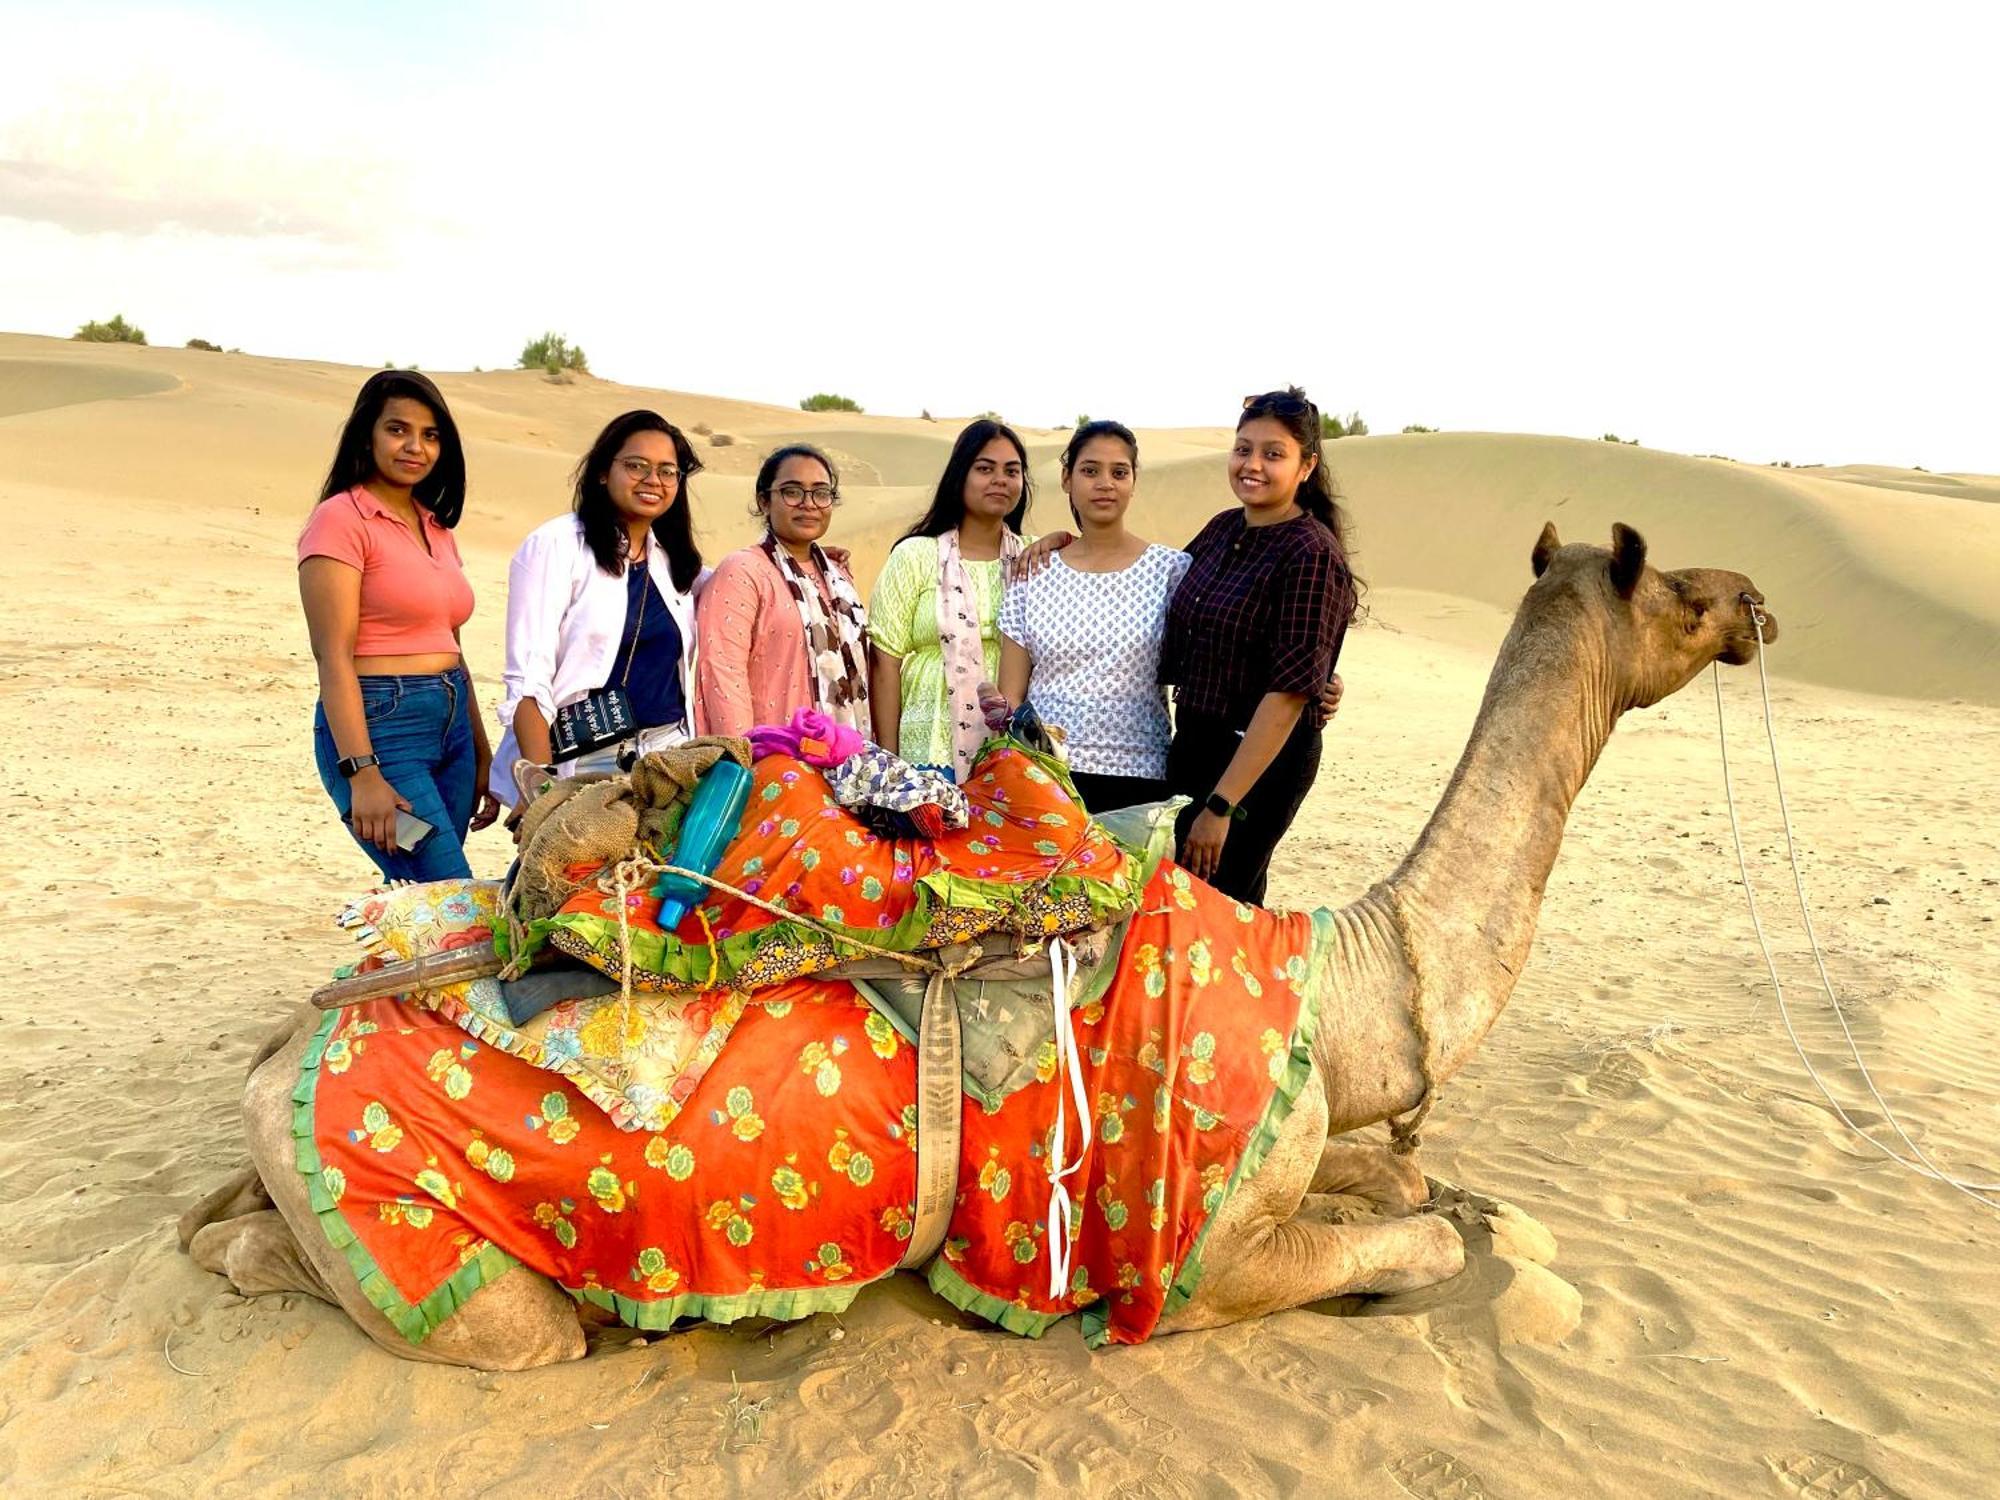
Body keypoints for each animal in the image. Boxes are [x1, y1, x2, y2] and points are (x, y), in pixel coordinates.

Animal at [184, 524, 1784, 1368]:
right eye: (1674, 591)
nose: (1758, 599)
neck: (1349, 979)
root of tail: (285, 1045)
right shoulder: (1197, 1258)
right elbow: (1414, 1231)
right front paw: (1434, 1233)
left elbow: (1394, 1176)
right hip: (454, 1267)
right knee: (423, 1299)